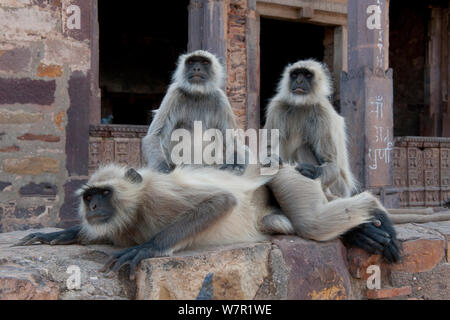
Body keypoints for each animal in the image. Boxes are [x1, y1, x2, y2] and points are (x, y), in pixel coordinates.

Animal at [17, 162, 400, 280]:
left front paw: (148, 248)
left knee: (312, 222)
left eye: (104, 193)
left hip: (290, 176)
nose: (94, 205)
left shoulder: (159, 194)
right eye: (89, 197)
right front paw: (57, 235)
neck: (135, 210)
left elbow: (222, 200)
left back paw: (376, 211)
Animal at [264, 58, 356, 196]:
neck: (302, 105)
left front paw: (313, 172)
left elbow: (332, 164)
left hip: (339, 188)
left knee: (303, 147)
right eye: (295, 74)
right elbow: (267, 149)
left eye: (307, 75)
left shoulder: (322, 112)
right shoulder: (276, 107)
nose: (299, 81)